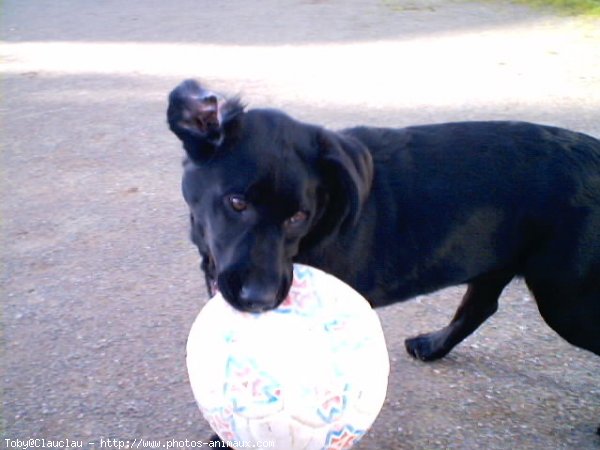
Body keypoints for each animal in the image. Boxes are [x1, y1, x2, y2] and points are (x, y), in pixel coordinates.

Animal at [168, 80, 600, 432]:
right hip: (500, 262)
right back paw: (432, 346)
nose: (259, 298)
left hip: (566, 299)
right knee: (481, 307)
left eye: (298, 216)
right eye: (237, 202)